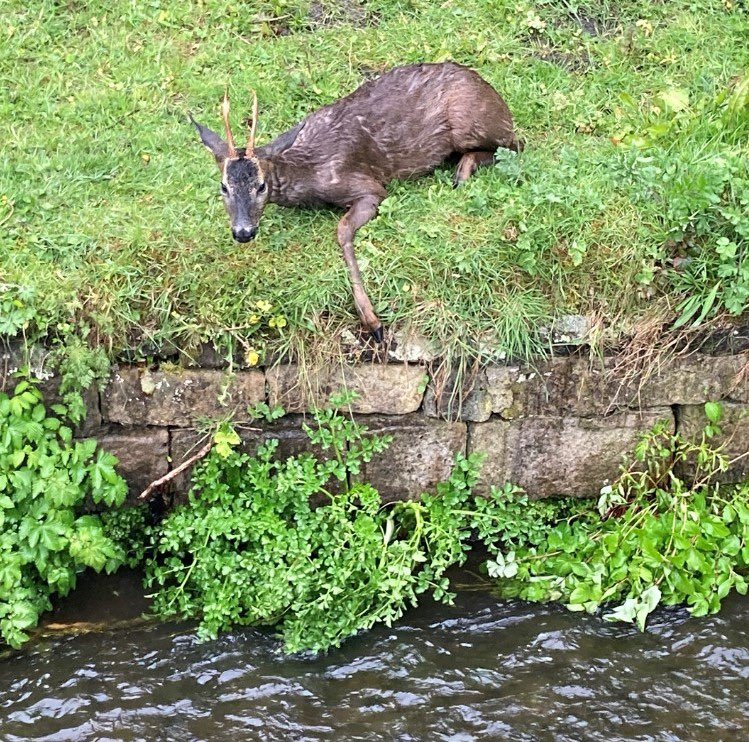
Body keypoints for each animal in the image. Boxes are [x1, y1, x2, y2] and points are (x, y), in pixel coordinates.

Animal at [190, 62, 523, 343]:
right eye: (223, 186)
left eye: (261, 186)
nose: (243, 231)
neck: (307, 174)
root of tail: (493, 94)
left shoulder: (368, 186)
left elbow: (342, 230)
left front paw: (373, 321)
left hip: (471, 123)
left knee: (515, 145)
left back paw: (463, 172)